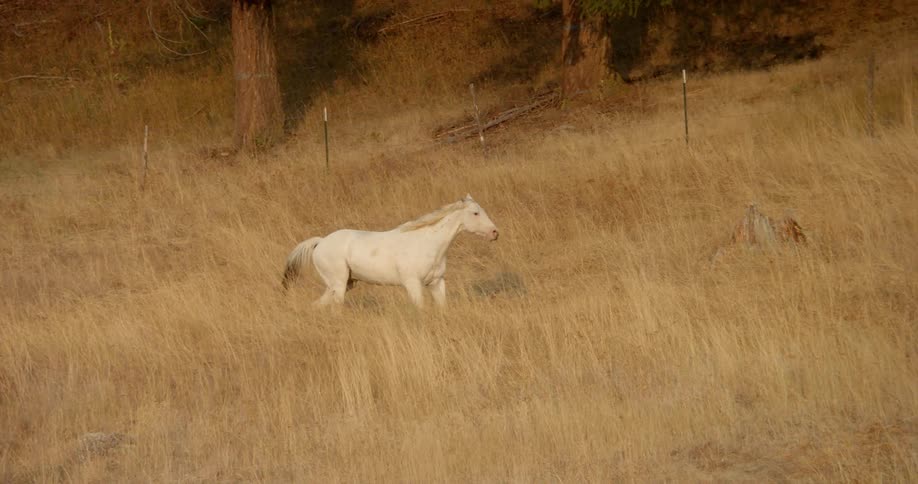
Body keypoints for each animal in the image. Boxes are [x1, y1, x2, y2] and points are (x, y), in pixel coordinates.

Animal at [282, 194, 499, 307]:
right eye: (476, 213)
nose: (495, 233)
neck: (427, 244)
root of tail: (320, 242)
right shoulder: (413, 284)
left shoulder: (437, 283)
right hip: (339, 283)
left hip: (342, 284)